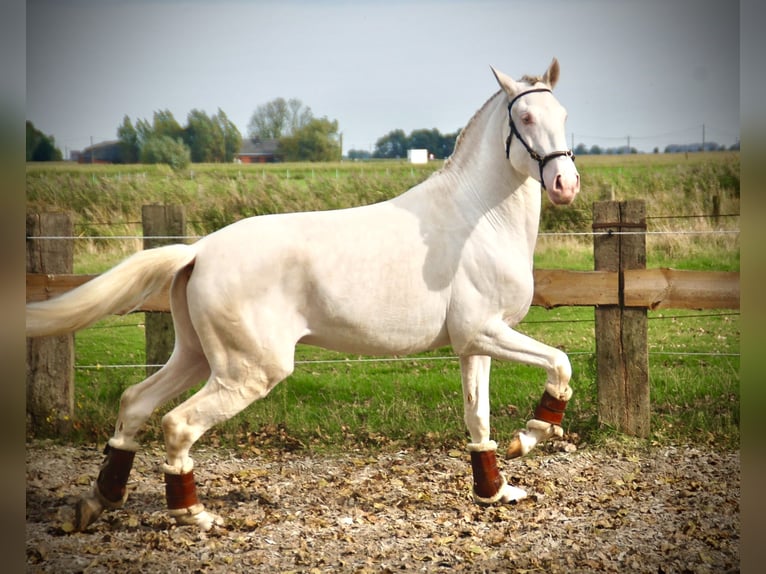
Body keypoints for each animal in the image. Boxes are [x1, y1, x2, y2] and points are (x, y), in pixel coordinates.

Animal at [25, 58, 584, 532]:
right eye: (525, 116)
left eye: (563, 114)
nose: (565, 184)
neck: (477, 218)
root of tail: (200, 250)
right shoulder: (486, 331)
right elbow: (560, 363)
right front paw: (530, 437)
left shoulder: (473, 341)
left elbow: (477, 415)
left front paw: (497, 491)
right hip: (249, 371)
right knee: (177, 424)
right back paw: (198, 516)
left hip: (197, 356)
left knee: (136, 403)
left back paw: (96, 502)